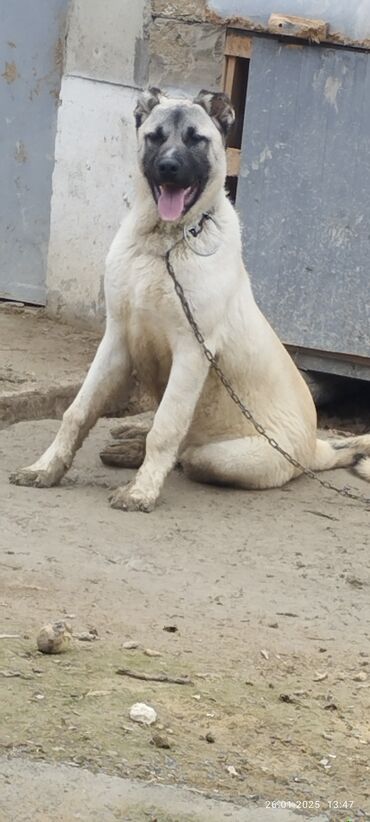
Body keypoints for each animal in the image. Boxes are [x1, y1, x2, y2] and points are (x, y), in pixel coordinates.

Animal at [10, 88, 370, 508]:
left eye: (196, 139)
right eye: (155, 137)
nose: (168, 167)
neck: (164, 241)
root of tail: (315, 448)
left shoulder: (192, 350)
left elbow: (166, 428)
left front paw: (142, 491)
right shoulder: (116, 339)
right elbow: (77, 412)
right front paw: (45, 468)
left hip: (222, 457)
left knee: (187, 452)